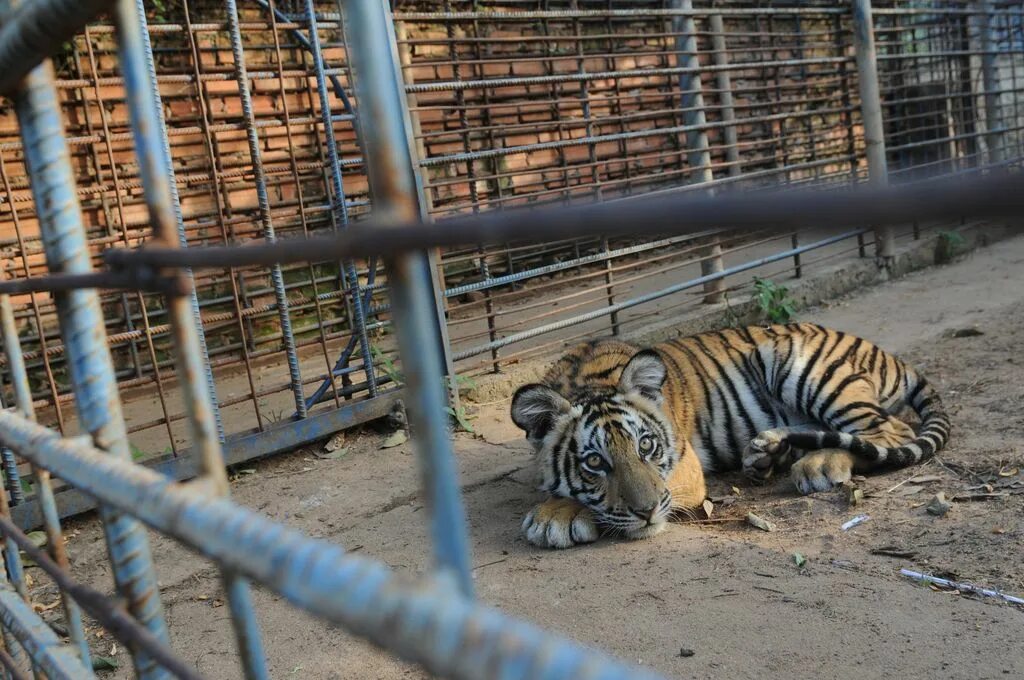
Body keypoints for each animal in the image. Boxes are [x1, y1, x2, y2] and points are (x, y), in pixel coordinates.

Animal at [512, 321, 950, 548]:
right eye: (594, 462)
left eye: (646, 446)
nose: (648, 511)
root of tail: (887, 353)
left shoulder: (685, 468)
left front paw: (555, 515)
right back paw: (766, 452)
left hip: (802, 366)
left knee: (887, 430)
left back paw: (817, 465)